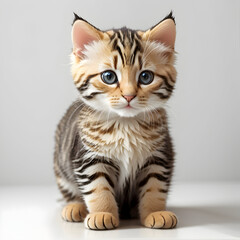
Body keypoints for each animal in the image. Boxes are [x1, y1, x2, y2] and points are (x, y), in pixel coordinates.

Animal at [54, 12, 178, 230]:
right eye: (109, 77)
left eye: (146, 77)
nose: (129, 96)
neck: (125, 124)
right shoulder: (88, 158)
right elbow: (98, 189)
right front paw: (102, 213)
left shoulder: (159, 156)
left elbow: (154, 187)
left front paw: (155, 212)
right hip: (61, 167)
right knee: (71, 192)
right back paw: (75, 207)